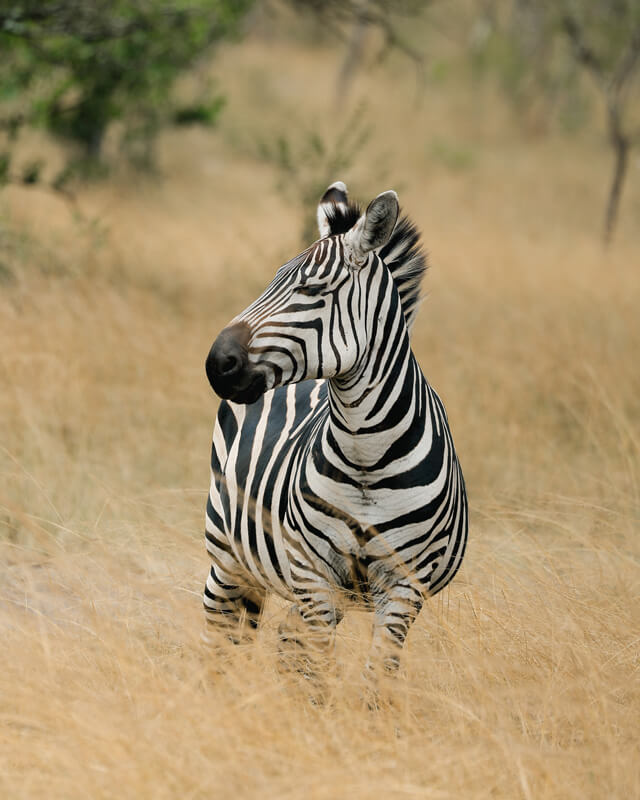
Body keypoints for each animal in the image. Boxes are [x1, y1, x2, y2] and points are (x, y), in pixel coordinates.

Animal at [203, 181, 468, 688]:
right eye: (271, 280)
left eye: (310, 289)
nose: (216, 363)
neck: (367, 455)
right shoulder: (314, 576)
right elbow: (316, 675)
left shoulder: (404, 587)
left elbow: (375, 682)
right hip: (228, 555)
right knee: (223, 643)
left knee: (283, 642)